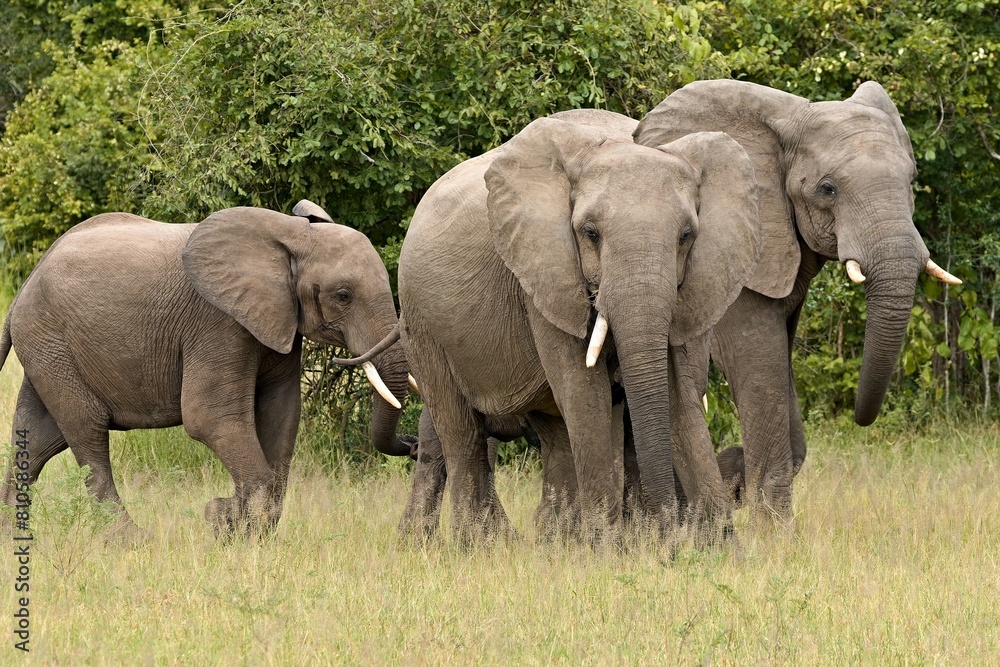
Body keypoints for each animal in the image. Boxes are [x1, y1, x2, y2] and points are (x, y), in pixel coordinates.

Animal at [0, 202, 414, 536]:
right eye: (343, 296)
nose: (412, 445)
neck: (288, 234)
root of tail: (25, 284)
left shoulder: (279, 322)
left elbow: (281, 414)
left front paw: (236, 524)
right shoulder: (219, 323)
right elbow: (209, 417)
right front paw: (230, 526)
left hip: (49, 349)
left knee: (38, 437)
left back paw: (12, 537)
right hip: (51, 341)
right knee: (87, 431)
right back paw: (132, 541)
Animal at [396, 107, 756, 540]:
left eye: (686, 235)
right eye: (590, 233)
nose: (668, 526)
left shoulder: (701, 280)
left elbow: (681, 391)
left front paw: (718, 547)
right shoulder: (544, 274)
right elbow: (584, 392)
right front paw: (608, 549)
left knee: (556, 435)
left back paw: (553, 543)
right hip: (420, 323)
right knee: (462, 433)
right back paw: (477, 545)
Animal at [632, 77, 960, 516]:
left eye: (911, 182)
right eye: (827, 189)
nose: (859, 417)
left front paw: (736, 477)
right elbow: (760, 367)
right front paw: (768, 522)